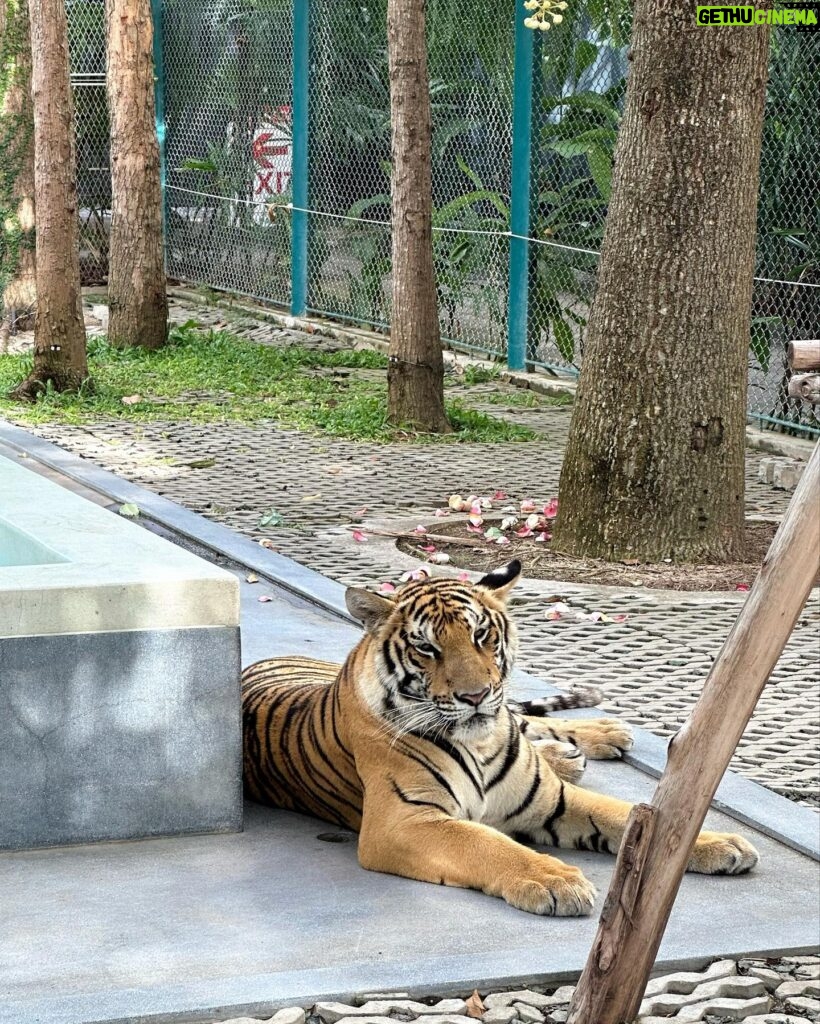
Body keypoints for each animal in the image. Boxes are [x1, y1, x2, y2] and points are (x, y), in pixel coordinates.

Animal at [239, 565, 757, 917]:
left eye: (482, 634)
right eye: (426, 647)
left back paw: (599, 736)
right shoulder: (403, 822)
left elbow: (623, 813)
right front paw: (555, 879)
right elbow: (487, 845)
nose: (474, 696)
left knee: (529, 719)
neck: (481, 744)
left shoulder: (551, 799)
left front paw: (716, 842)